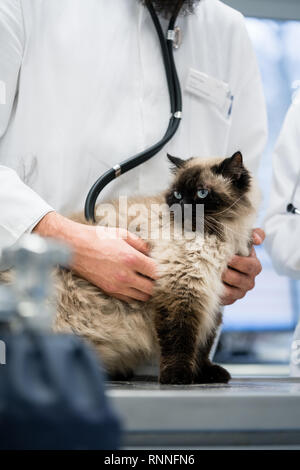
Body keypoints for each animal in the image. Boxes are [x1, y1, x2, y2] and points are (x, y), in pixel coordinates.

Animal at [51, 152, 258, 384]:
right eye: (177, 194)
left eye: (202, 193)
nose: (181, 207)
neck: (216, 237)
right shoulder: (180, 290)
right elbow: (179, 339)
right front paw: (178, 378)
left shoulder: (214, 298)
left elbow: (203, 345)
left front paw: (205, 374)